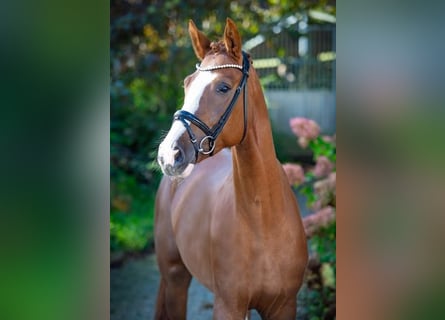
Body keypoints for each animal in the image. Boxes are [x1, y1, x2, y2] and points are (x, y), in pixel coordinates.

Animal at [154, 18, 306, 318]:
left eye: (223, 87)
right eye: (187, 84)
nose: (168, 155)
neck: (263, 221)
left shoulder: (284, 306)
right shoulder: (228, 305)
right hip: (175, 277)